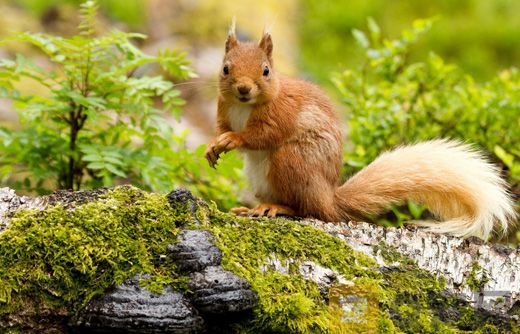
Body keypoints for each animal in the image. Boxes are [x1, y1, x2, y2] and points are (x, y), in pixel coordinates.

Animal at [203, 22, 516, 239]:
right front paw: (213, 146)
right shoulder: (223, 109)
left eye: (266, 70)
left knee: (308, 210)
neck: (244, 106)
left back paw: (276, 208)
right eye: (226, 68)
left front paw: (233, 139)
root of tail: (329, 198)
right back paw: (251, 208)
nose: (244, 89)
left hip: (291, 163)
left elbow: (262, 135)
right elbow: (222, 129)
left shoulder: (282, 114)